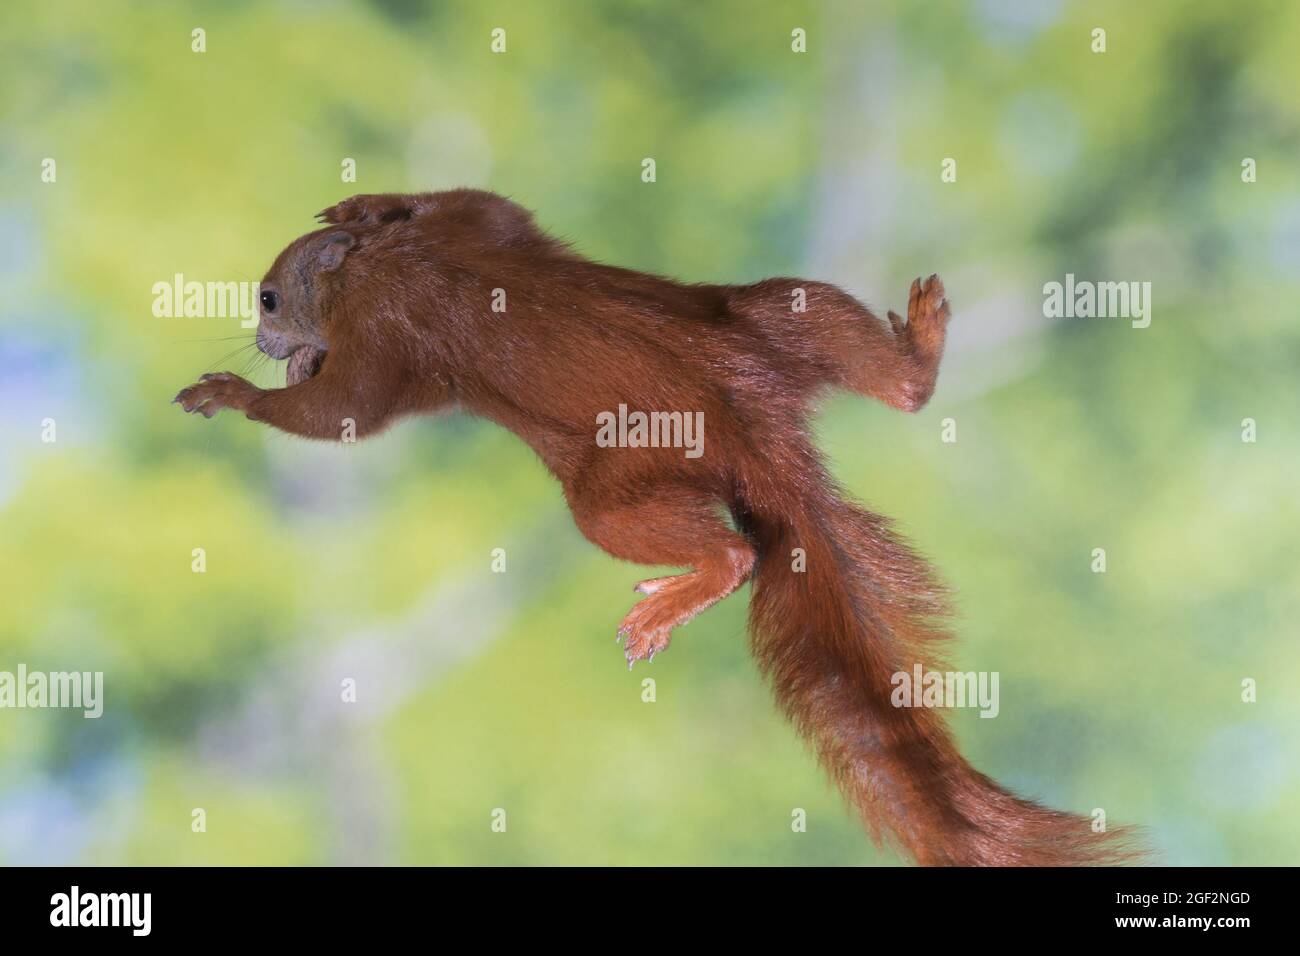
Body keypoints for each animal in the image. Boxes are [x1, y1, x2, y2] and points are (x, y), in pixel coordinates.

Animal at [175, 188, 1138, 868]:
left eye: (268, 298)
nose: (267, 339)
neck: (379, 267)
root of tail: (754, 423)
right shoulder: (477, 225)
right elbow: (482, 200)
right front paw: (357, 202)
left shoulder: (384, 334)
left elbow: (343, 413)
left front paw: (233, 391)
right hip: (779, 313)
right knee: (886, 378)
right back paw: (924, 342)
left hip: (611, 491)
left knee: (735, 549)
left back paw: (665, 605)